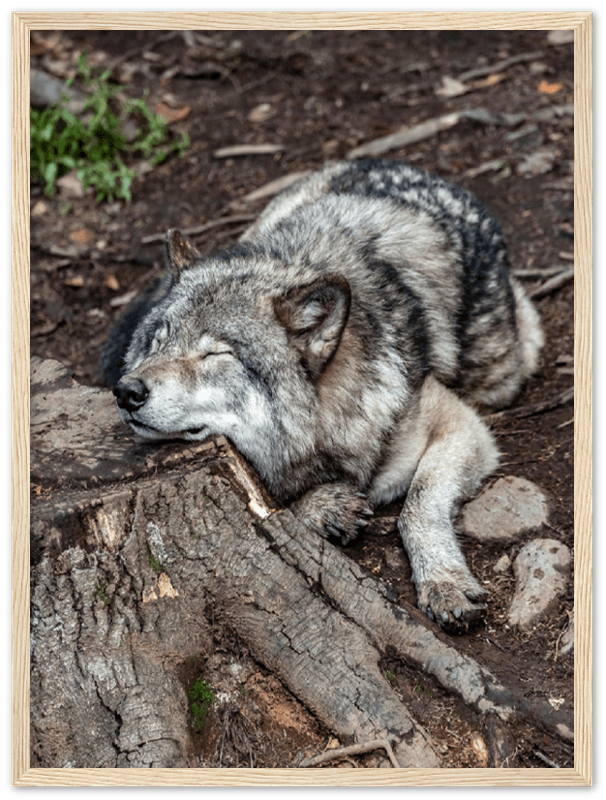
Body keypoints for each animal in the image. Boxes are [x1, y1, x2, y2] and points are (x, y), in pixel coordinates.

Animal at [102, 159, 542, 628]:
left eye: (215, 354)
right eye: (157, 342)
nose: (126, 391)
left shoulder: (461, 425)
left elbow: (417, 504)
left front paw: (443, 581)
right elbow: (272, 506)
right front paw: (323, 506)